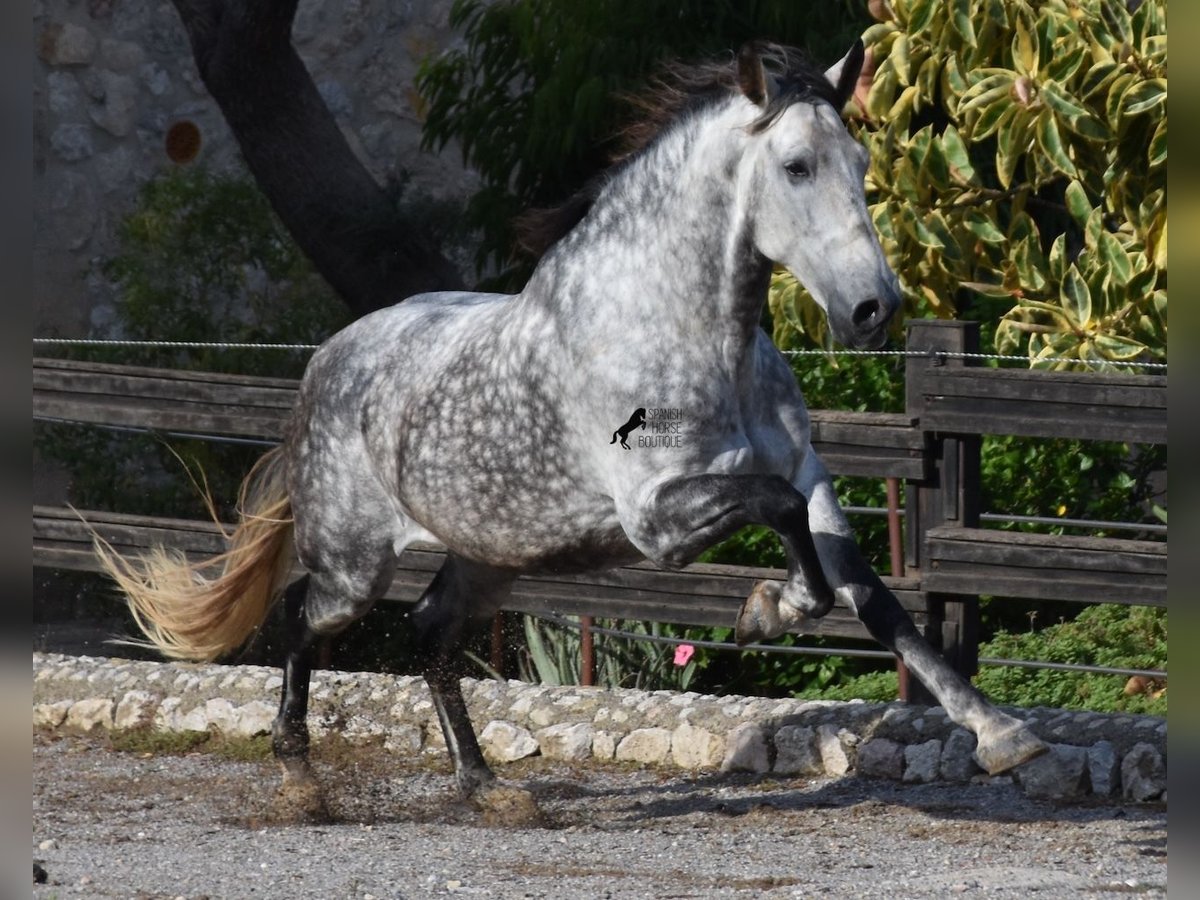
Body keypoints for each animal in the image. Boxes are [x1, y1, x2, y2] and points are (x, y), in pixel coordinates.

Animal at [98, 40, 1046, 816]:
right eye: (797, 165)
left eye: (860, 159)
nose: (873, 310)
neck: (690, 334)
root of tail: (326, 364)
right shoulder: (658, 517)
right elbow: (779, 522)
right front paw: (763, 611)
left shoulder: (809, 473)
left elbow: (870, 592)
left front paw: (1002, 734)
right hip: (355, 565)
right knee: (301, 621)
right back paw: (301, 779)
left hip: (489, 557)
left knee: (430, 633)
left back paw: (485, 788)